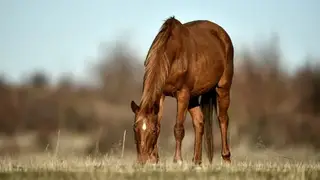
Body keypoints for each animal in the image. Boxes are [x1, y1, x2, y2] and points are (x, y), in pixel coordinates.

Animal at [129, 16, 232, 165]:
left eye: (152, 131)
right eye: (134, 128)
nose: (143, 161)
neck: (174, 56)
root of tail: (222, 34)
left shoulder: (182, 94)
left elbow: (178, 128)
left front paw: (177, 160)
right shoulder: (162, 94)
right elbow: (160, 123)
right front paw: (155, 159)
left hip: (223, 88)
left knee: (223, 119)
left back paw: (226, 159)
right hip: (193, 97)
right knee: (199, 122)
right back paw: (196, 161)